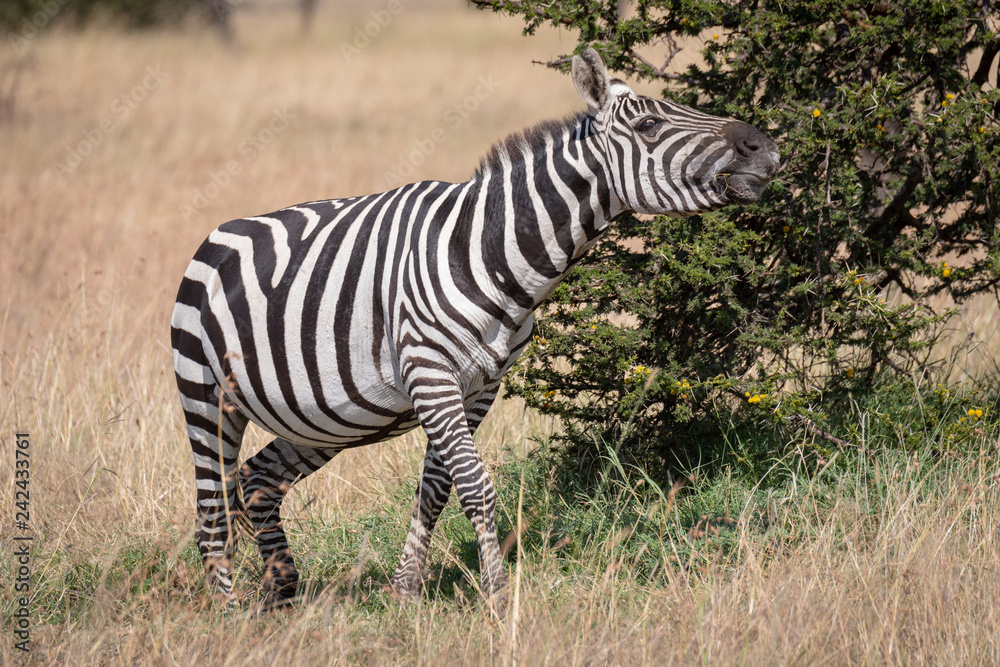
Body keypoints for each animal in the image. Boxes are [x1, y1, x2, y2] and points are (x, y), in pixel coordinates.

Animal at [170, 47, 779, 613]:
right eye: (650, 124)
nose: (767, 147)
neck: (489, 252)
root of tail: (220, 233)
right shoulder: (431, 372)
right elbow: (476, 487)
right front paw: (497, 600)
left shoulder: (481, 386)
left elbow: (437, 489)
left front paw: (405, 596)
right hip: (207, 394)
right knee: (211, 510)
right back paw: (230, 616)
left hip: (327, 416)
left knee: (257, 480)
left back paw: (281, 598)